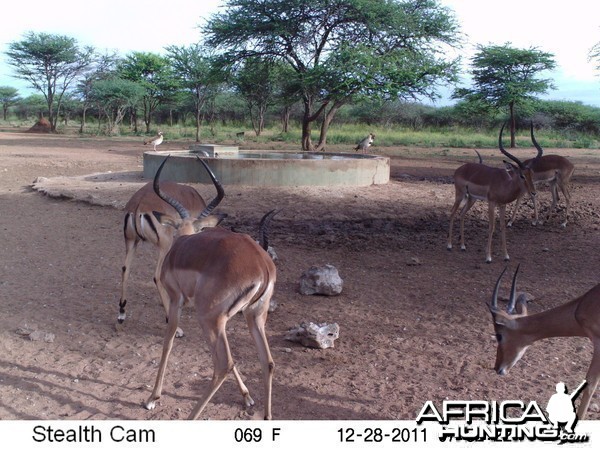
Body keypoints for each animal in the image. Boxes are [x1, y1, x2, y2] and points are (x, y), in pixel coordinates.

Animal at [117, 156, 213, 336]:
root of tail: (138, 206)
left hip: (132, 242)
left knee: (125, 269)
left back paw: (121, 316)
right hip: (164, 245)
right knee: (157, 276)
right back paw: (175, 326)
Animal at [145, 156, 276, 420]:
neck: (182, 242)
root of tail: (263, 265)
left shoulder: (176, 300)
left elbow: (168, 341)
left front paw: (153, 397)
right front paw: (247, 396)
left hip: (209, 318)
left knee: (224, 364)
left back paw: (190, 418)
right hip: (252, 316)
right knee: (266, 361)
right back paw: (267, 416)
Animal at [448, 123, 540, 264]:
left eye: (532, 174)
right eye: (522, 175)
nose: (534, 193)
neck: (505, 184)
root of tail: (459, 169)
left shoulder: (502, 205)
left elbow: (502, 227)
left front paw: (506, 256)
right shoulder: (491, 203)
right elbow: (492, 227)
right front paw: (488, 257)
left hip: (471, 199)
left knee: (462, 214)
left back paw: (463, 246)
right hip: (460, 195)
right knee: (452, 212)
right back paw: (449, 245)